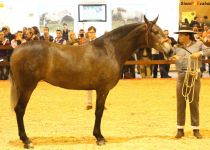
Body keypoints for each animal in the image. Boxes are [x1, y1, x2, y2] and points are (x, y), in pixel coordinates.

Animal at [9, 15, 172, 149]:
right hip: (27, 87)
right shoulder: (102, 89)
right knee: (20, 110)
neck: (110, 50)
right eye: (155, 31)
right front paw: (99, 137)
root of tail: (17, 50)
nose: (170, 50)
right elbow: (99, 111)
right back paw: (27, 141)